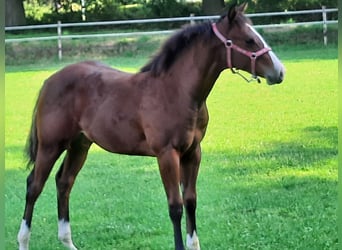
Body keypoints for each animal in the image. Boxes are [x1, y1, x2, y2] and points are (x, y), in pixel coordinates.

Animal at [16, 2, 284, 250]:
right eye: (249, 40)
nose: (279, 72)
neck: (176, 91)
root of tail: (50, 80)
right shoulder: (167, 154)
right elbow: (175, 206)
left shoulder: (193, 152)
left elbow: (190, 200)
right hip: (51, 145)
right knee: (33, 186)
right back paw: (23, 240)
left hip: (80, 144)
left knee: (64, 182)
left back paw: (68, 242)